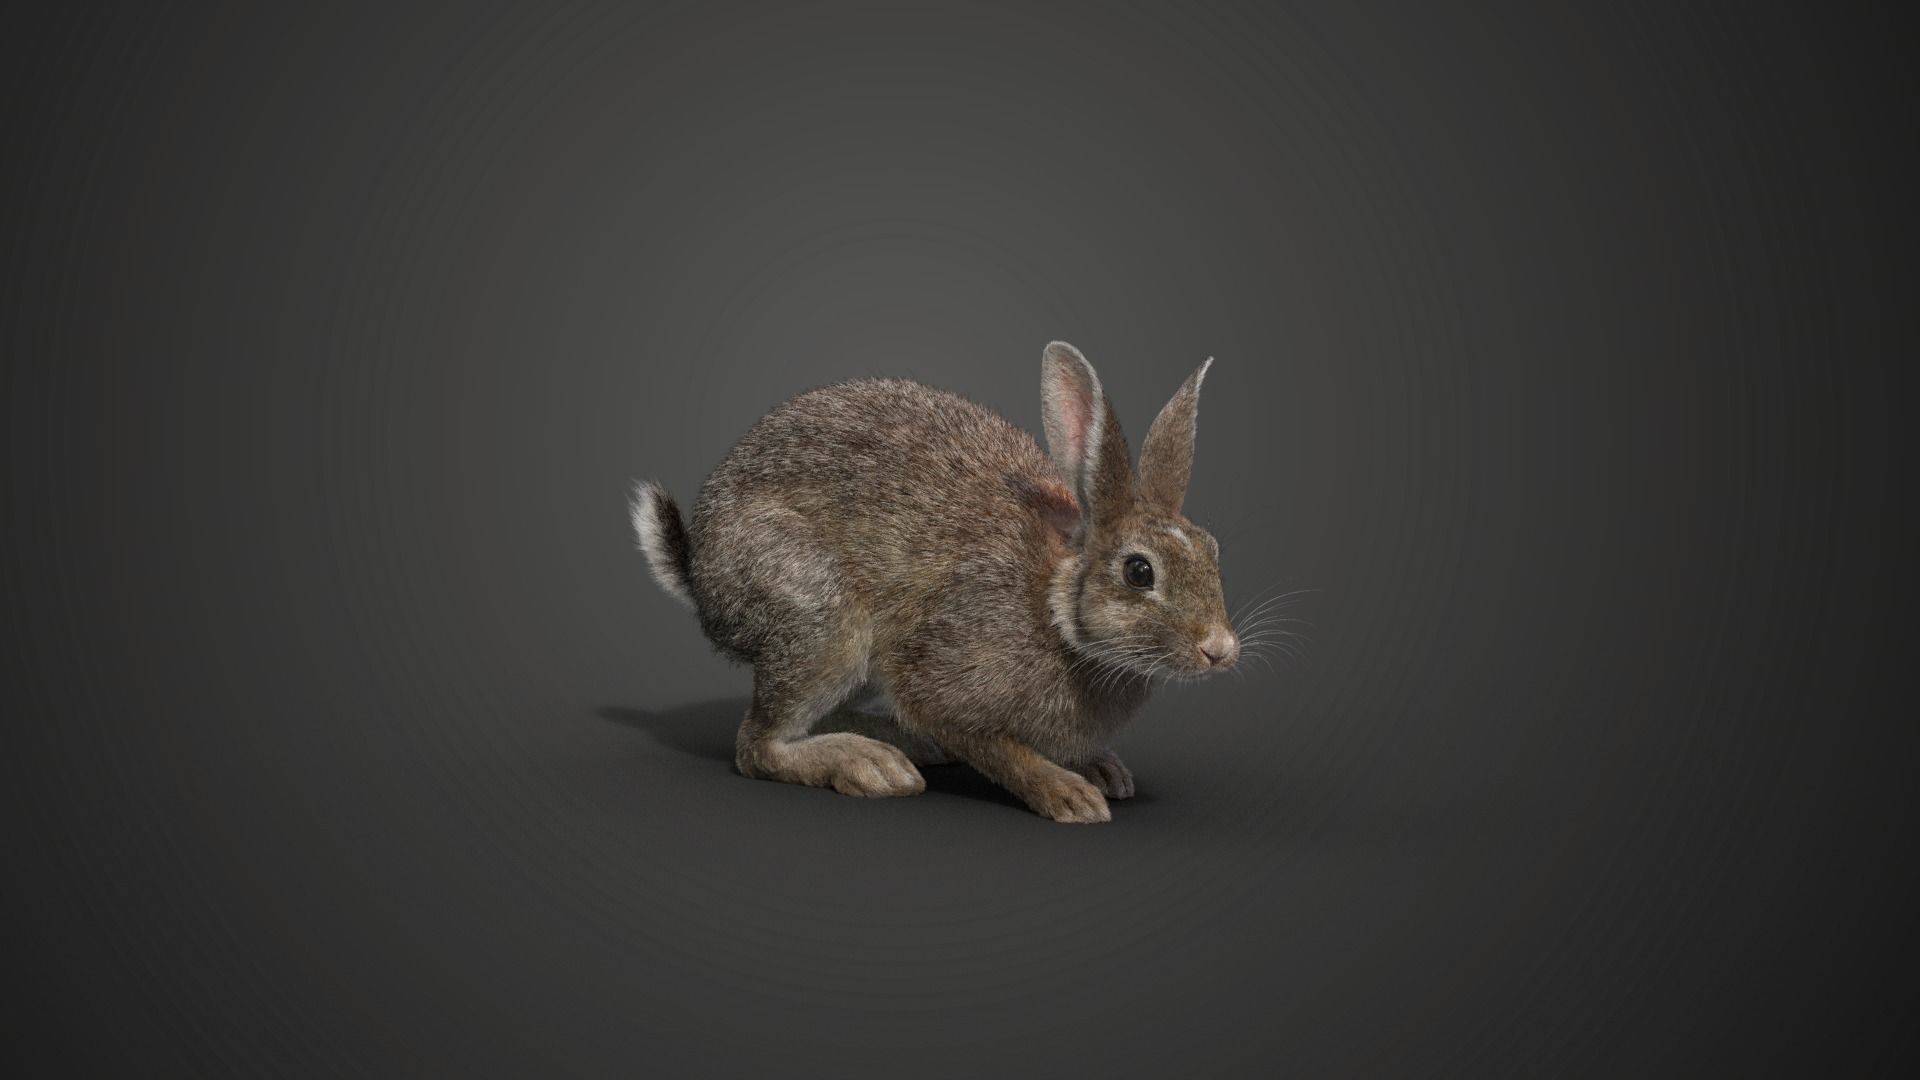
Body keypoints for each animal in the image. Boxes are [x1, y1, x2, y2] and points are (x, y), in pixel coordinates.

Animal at [629, 341, 1239, 823]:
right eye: (1139, 571)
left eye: (1213, 550)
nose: (1221, 649)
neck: (1056, 603)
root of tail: (702, 580)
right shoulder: (941, 676)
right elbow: (992, 744)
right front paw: (1068, 795)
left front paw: (1103, 770)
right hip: (821, 619)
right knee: (758, 746)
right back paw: (871, 765)